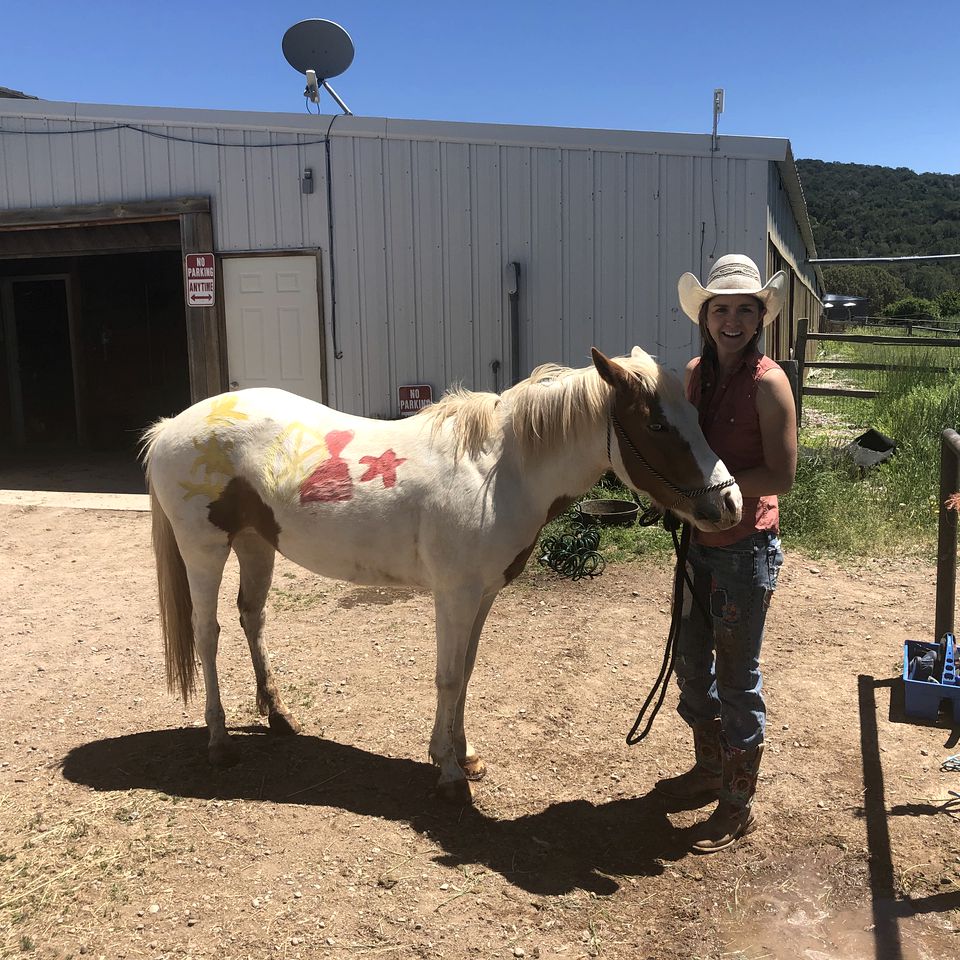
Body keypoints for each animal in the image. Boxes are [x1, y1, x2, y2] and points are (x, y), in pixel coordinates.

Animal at [141, 344, 744, 804]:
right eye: (658, 423)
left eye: (696, 416)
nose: (731, 503)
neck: (499, 470)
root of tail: (170, 427)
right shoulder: (454, 595)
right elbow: (449, 676)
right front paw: (449, 773)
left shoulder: (482, 595)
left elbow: (468, 673)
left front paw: (465, 754)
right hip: (204, 550)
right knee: (207, 634)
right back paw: (220, 742)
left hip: (255, 543)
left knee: (252, 618)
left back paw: (279, 715)